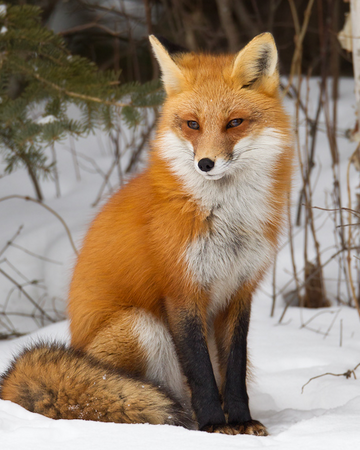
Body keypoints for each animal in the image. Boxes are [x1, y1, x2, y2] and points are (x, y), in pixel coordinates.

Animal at [0, 33, 292, 434]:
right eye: (192, 124)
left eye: (235, 122)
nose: (205, 164)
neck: (224, 216)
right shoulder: (181, 290)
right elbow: (201, 373)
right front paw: (215, 427)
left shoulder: (239, 290)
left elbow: (232, 372)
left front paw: (241, 422)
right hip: (140, 326)